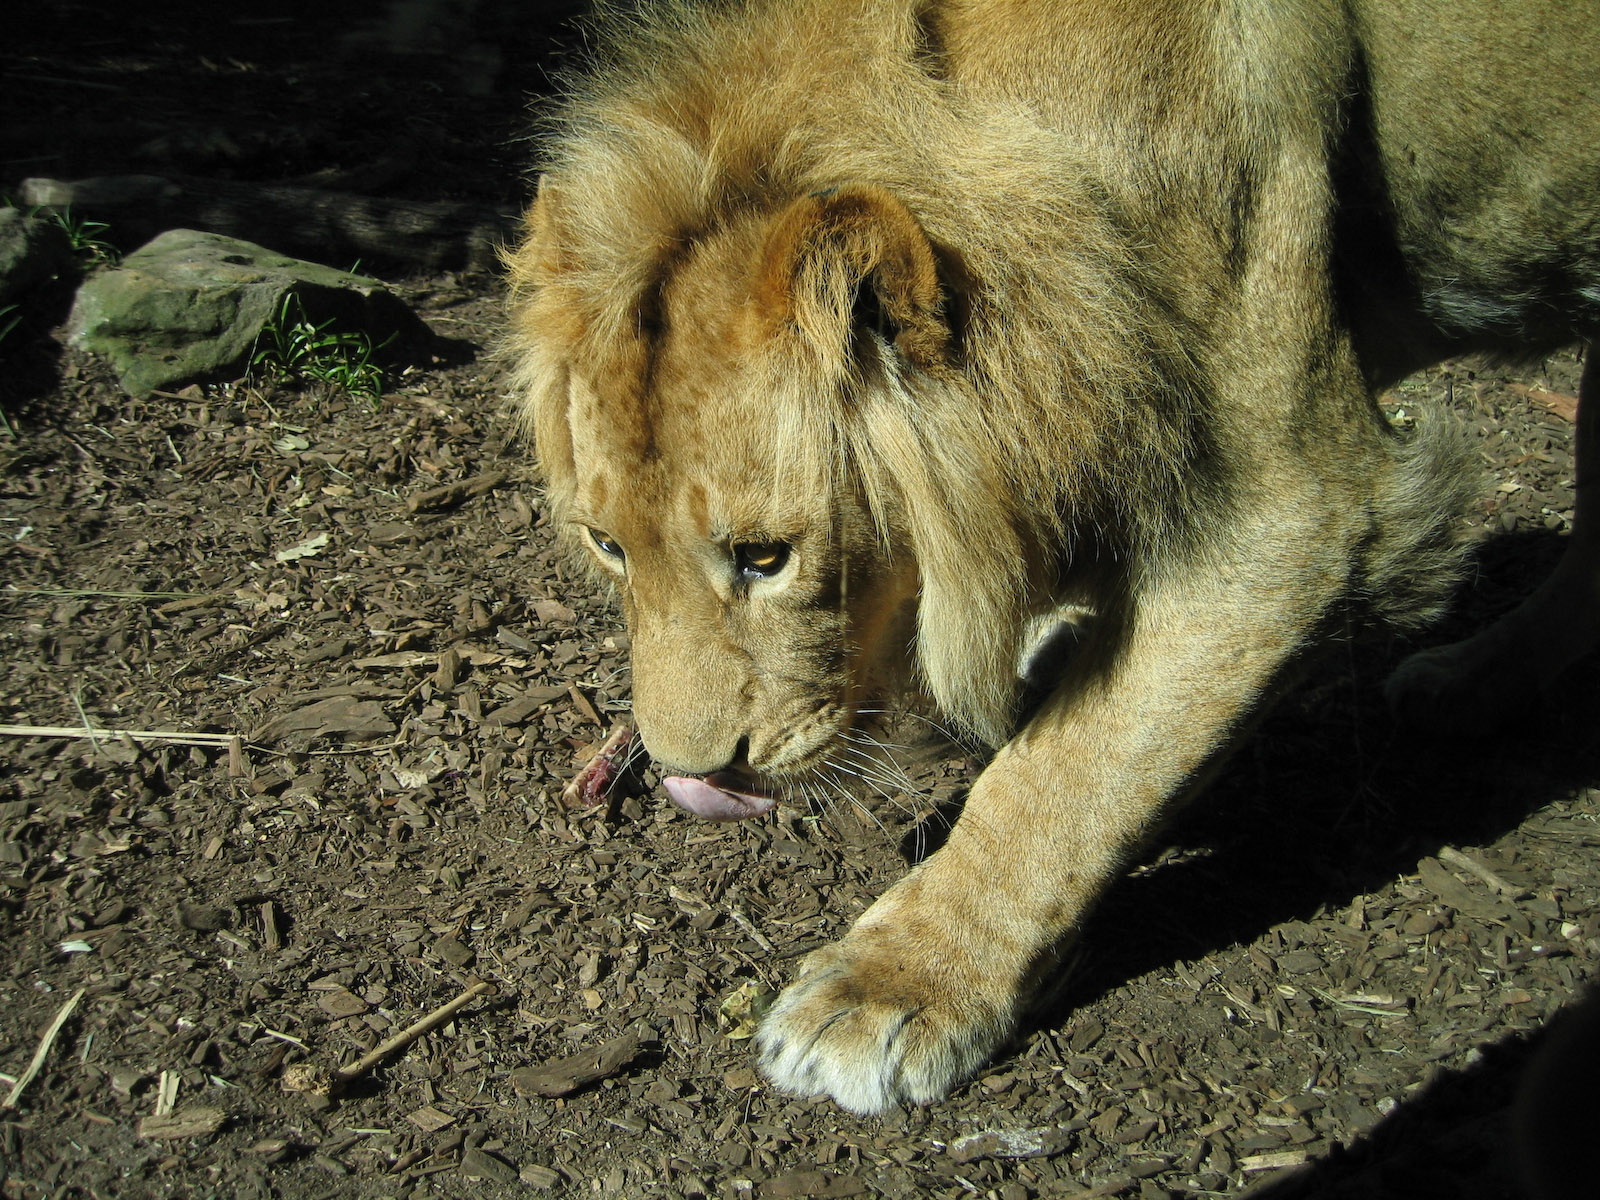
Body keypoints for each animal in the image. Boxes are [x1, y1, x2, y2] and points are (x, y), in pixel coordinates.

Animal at [505, 0, 1600, 1114]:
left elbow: (1061, 780)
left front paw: (888, 987)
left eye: (765, 558)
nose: (693, 776)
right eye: (607, 546)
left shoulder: (1297, 504)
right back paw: (1466, 685)